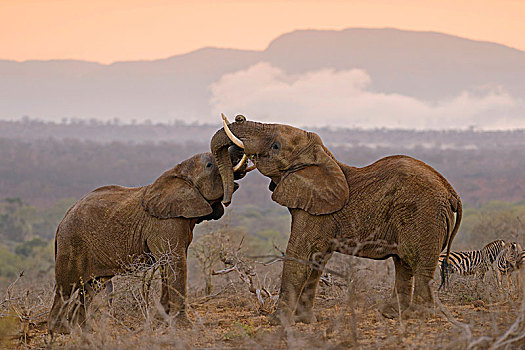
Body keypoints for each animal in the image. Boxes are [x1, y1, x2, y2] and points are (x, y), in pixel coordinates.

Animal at [47, 148, 248, 334]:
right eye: (209, 165)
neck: (179, 173)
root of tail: (61, 221)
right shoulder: (164, 223)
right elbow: (176, 263)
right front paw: (184, 327)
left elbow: (168, 266)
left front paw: (161, 323)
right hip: (72, 242)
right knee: (66, 287)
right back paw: (59, 332)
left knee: (90, 288)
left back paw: (83, 331)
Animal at [211, 115, 460, 326]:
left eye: (276, 146)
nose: (239, 117)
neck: (322, 156)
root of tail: (451, 192)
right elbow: (317, 261)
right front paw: (305, 321)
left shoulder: (316, 212)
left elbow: (298, 256)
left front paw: (278, 323)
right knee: (403, 263)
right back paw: (392, 314)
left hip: (424, 214)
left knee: (417, 261)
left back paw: (416, 317)